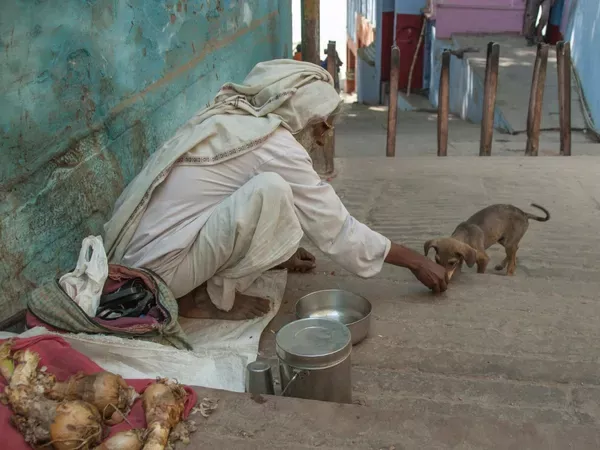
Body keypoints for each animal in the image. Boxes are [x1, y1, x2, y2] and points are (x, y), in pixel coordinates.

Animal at [424, 203, 552, 280]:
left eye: (451, 263)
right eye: (436, 260)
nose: (440, 278)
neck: (465, 234)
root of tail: (525, 214)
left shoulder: (483, 259)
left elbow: (480, 272)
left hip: (508, 243)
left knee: (513, 258)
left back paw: (509, 272)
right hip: (502, 238)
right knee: (515, 250)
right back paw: (501, 265)